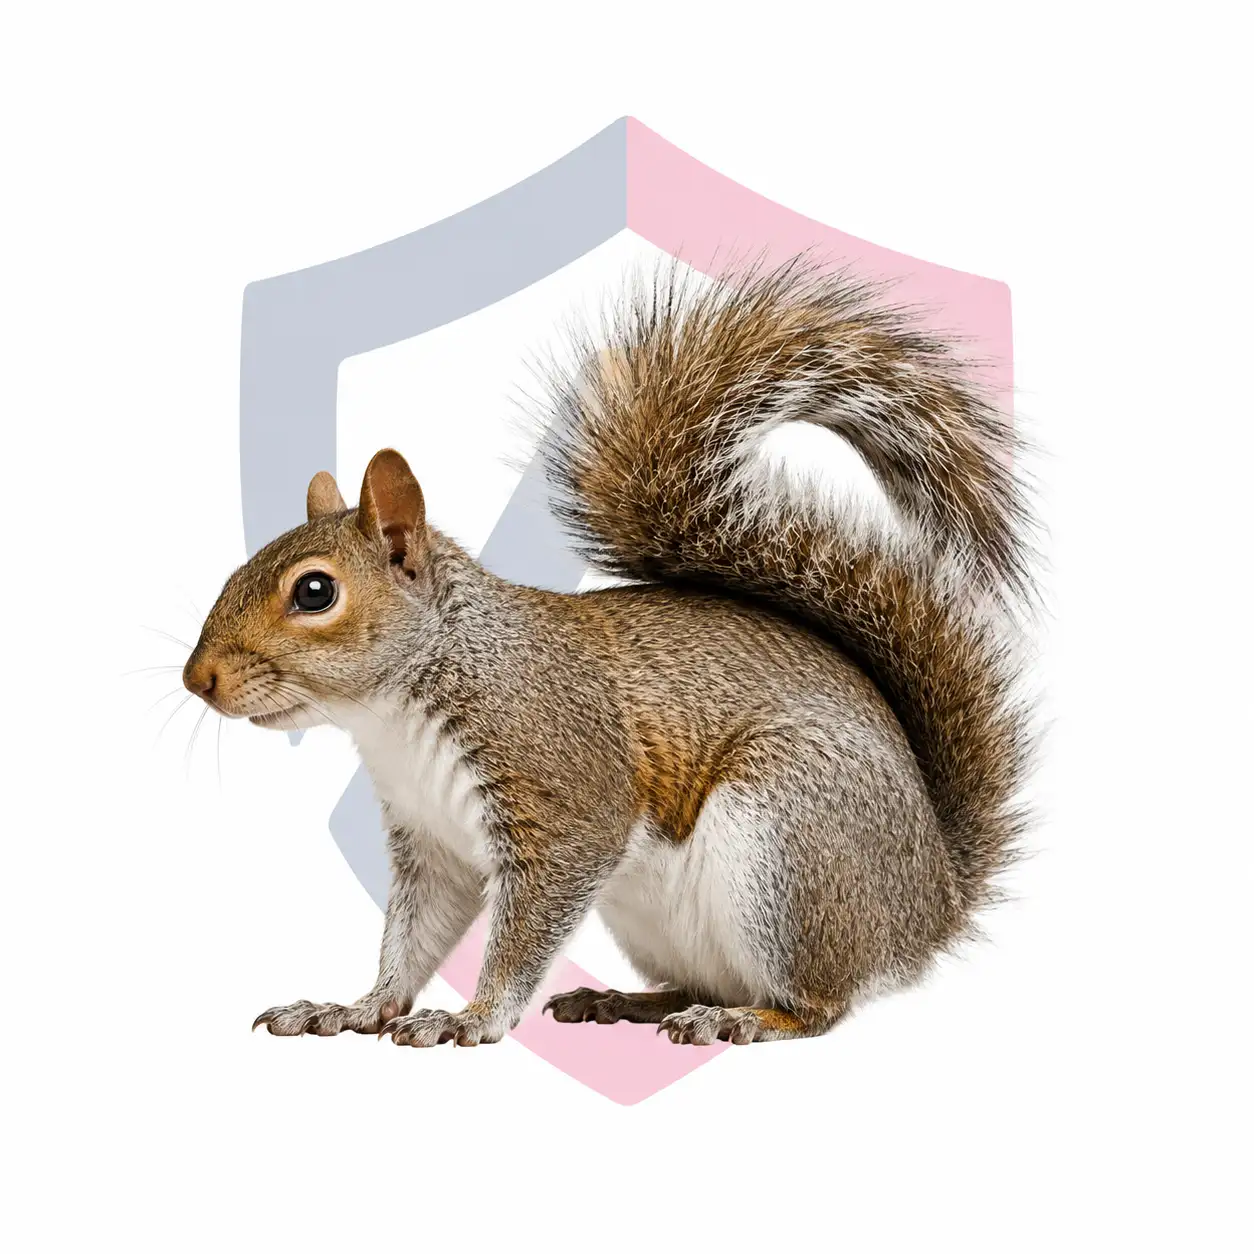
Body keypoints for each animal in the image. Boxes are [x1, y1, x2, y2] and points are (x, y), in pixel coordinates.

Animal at [185, 257, 1037, 1048]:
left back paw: (746, 1019)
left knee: (818, 1004)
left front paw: (475, 1017)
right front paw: (356, 1006)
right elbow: (413, 936)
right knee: (708, 979)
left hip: (787, 846)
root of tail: (931, 903)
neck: (402, 706)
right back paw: (630, 1002)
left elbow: (523, 931)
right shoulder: (432, 842)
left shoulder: (565, 796)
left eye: (315, 592)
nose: (199, 679)